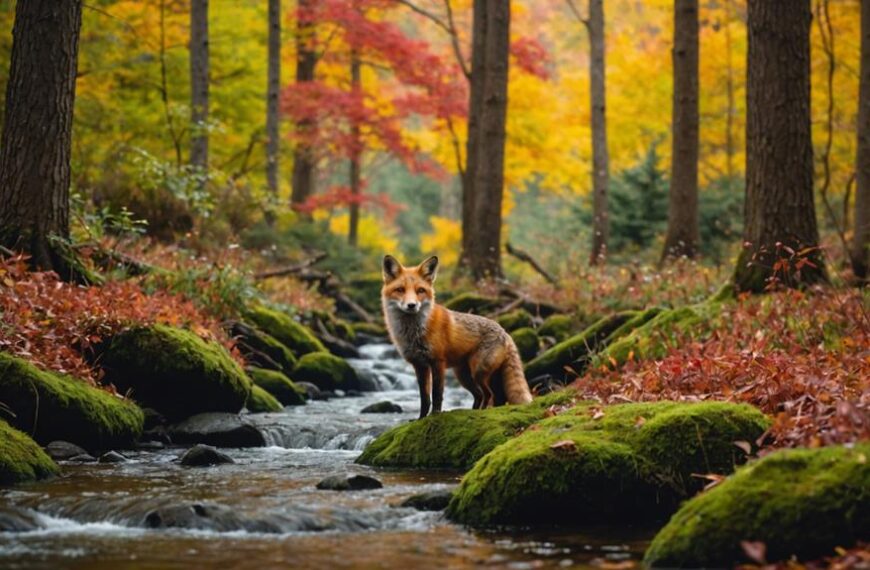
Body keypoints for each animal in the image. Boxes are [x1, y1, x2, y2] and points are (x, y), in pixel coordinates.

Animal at [381, 254, 533, 419]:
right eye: (400, 290)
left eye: (420, 290)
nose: (411, 305)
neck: (414, 332)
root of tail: (505, 331)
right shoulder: (419, 365)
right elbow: (424, 398)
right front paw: (421, 419)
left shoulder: (437, 362)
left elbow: (437, 394)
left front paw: (435, 415)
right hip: (464, 376)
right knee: (481, 395)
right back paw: (473, 412)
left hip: (478, 372)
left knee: (488, 394)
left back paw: (481, 412)